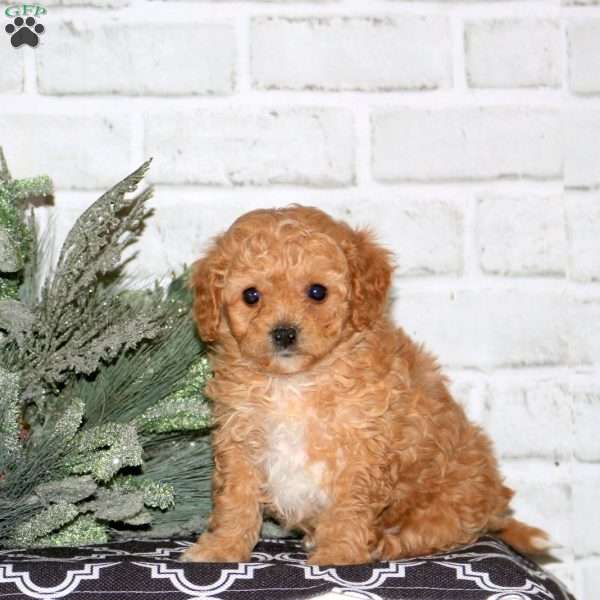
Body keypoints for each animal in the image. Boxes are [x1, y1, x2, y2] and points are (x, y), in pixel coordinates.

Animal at [180, 206, 552, 568]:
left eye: (317, 292)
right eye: (251, 296)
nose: (284, 333)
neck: (295, 382)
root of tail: (494, 507)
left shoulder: (362, 449)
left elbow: (348, 507)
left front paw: (338, 553)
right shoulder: (240, 440)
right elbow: (236, 501)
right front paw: (222, 548)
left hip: (452, 500)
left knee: (433, 533)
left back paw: (383, 544)